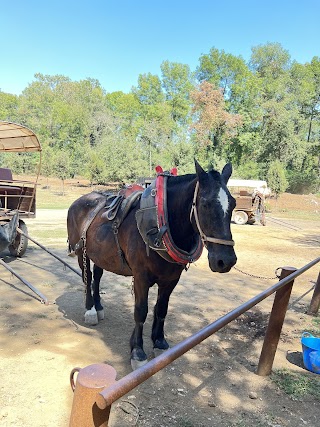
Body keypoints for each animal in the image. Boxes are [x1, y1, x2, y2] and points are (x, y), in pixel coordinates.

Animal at [67, 162, 238, 370]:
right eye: (205, 203)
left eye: (233, 204)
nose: (225, 260)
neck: (160, 222)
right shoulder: (141, 277)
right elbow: (141, 311)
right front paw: (137, 351)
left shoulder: (171, 279)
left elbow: (161, 309)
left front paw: (159, 342)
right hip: (80, 252)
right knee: (88, 277)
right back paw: (90, 309)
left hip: (100, 254)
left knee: (97, 277)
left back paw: (99, 306)